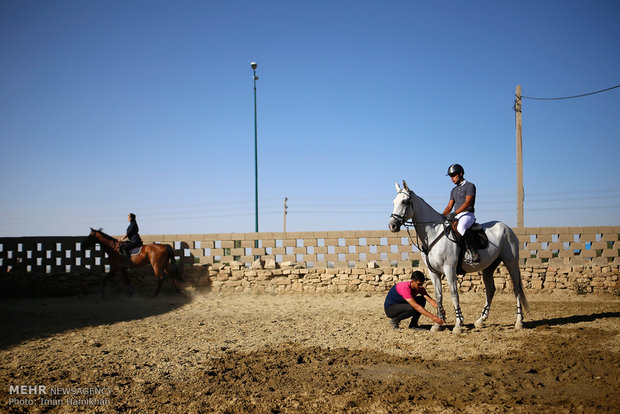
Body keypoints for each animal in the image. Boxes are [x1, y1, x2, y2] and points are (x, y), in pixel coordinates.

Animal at [388, 181, 528, 334]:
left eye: (405, 201)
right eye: (393, 202)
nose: (392, 225)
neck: (433, 234)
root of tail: (507, 228)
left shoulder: (449, 269)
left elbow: (454, 295)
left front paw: (458, 325)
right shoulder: (433, 272)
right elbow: (438, 296)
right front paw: (438, 324)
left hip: (511, 263)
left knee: (516, 289)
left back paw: (519, 322)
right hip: (488, 267)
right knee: (490, 290)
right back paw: (480, 320)